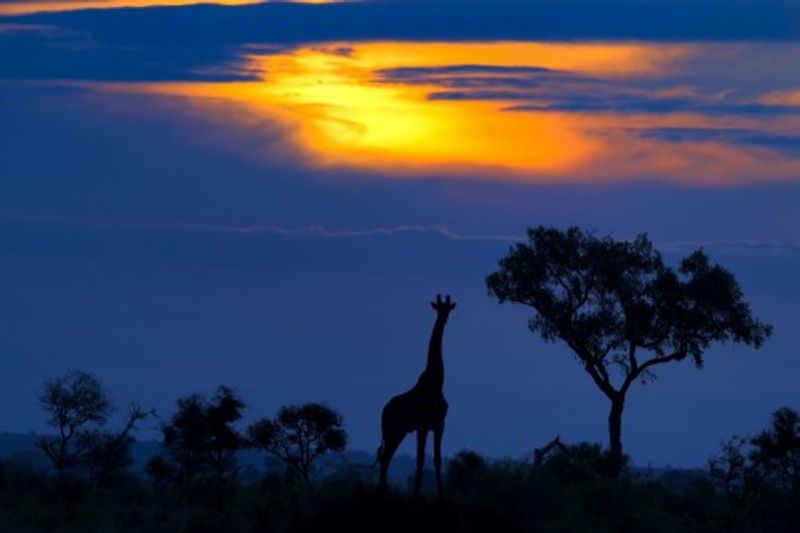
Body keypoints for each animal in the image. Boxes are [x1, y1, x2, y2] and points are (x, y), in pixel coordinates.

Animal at [377, 293, 456, 499]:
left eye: (448, 309)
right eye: (438, 309)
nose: (444, 319)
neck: (436, 383)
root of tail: (383, 410)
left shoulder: (439, 425)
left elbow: (437, 459)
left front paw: (442, 496)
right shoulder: (422, 425)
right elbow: (420, 459)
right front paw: (415, 495)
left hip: (400, 431)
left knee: (386, 456)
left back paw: (385, 491)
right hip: (392, 430)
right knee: (385, 456)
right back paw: (383, 491)